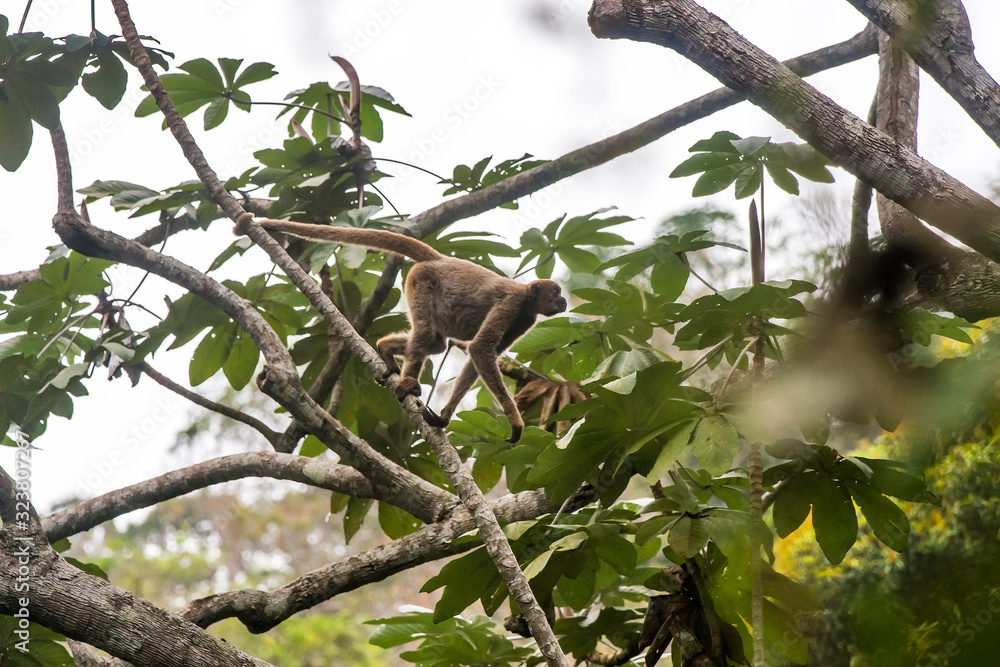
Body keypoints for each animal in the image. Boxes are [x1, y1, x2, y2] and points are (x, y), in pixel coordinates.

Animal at [246, 219, 568, 444]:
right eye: (556, 291)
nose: (564, 300)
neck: (526, 297)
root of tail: (439, 259)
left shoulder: (526, 318)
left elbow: (477, 357)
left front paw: (444, 417)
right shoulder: (513, 303)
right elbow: (480, 349)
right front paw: (516, 422)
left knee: (435, 343)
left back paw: (385, 349)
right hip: (420, 280)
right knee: (426, 335)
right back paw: (408, 384)